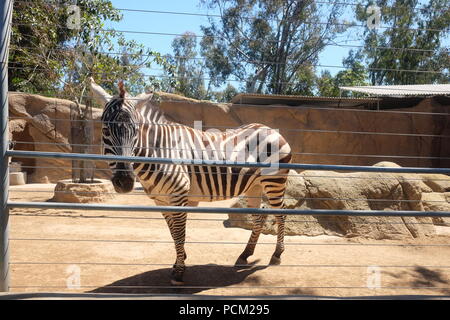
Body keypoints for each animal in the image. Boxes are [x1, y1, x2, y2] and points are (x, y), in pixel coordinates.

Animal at [89, 78, 294, 284]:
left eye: (136, 131)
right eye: (105, 129)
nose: (124, 182)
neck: (158, 152)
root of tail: (271, 129)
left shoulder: (179, 194)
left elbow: (179, 233)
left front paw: (179, 272)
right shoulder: (161, 200)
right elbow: (173, 232)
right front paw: (179, 261)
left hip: (274, 181)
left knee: (281, 213)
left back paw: (277, 255)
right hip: (254, 185)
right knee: (259, 216)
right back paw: (245, 255)